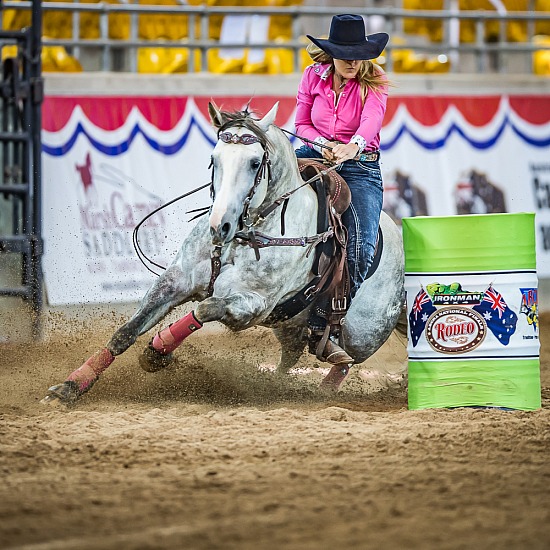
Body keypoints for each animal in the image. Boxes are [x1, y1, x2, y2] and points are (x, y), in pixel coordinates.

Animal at [42, 102, 406, 410]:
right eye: (214, 158)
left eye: (255, 162)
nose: (220, 225)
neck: (241, 237)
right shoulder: (175, 281)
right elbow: (125, 333)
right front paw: (69, 388)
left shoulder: (251, 305)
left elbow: (204, 308)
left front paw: (157, 352)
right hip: (291, 325)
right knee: (291, 356)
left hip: (361, 333)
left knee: (347, 360)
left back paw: (322, 388)